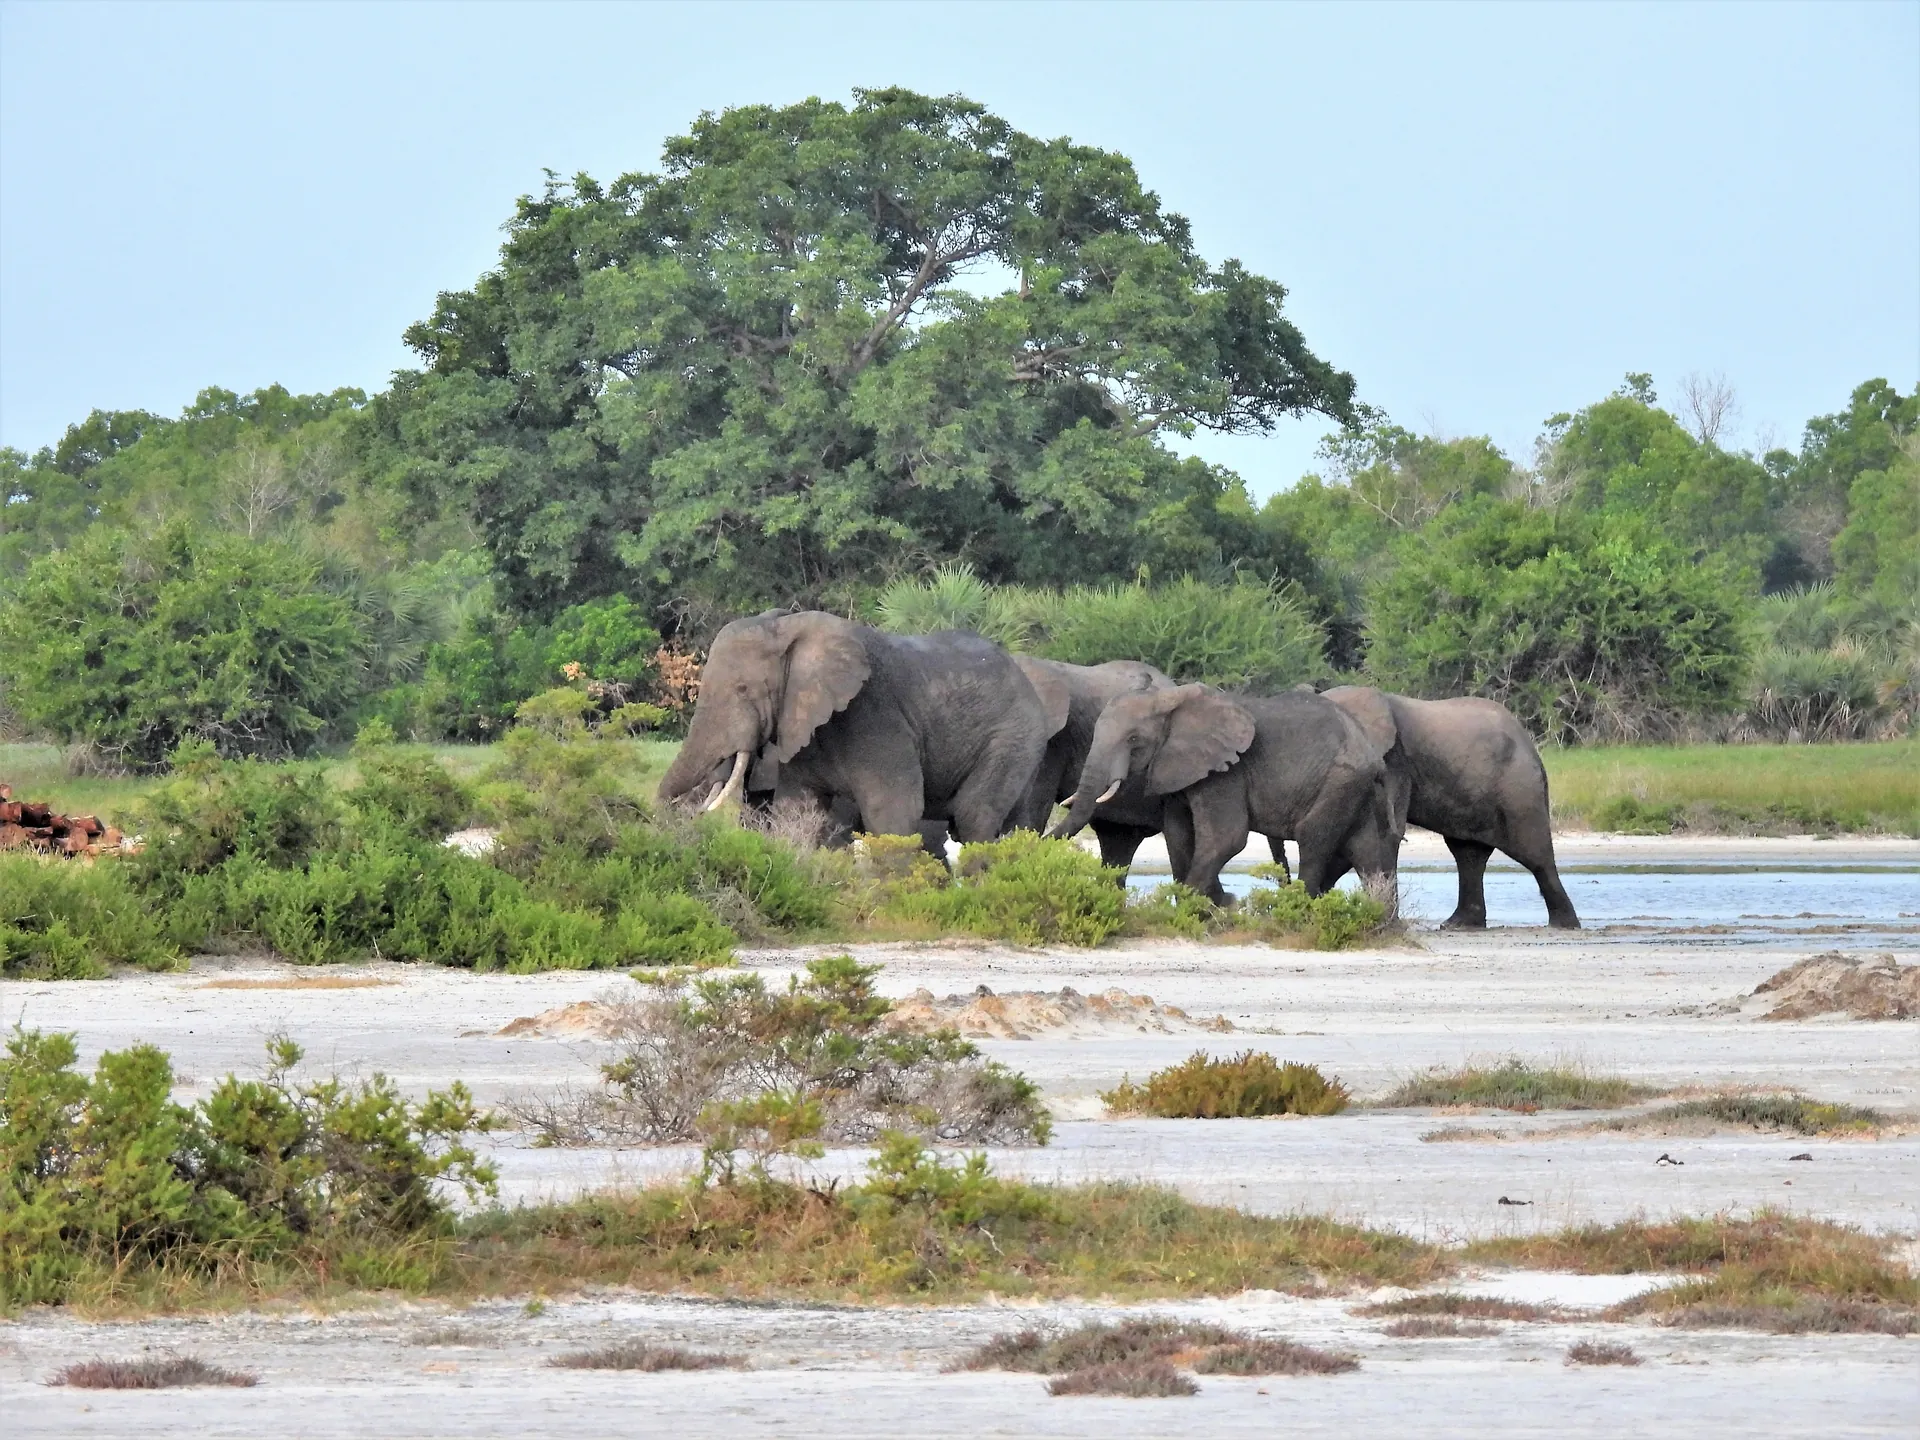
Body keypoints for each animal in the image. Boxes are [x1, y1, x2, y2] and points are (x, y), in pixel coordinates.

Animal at [656, 610, 1052, 844]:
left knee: (973, 816)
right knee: (1015, 823)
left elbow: (893, 808)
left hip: (1012, 737)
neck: (788, 626)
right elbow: (797, 810)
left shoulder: (875, 715)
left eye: (742, 689)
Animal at [1052, 683, 1397, 906]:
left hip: (1340, 779)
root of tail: (1372, 754)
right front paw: (1213, 907)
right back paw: (1378, 920)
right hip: (1354, 787)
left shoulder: (1227, 771)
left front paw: (1202, 909)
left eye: (1133, 739)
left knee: (1313, 838)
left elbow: (1226, 838)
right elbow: (1178, 834)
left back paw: (1297, 911)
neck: (1172, 701)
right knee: (1364, 849)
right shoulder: (1179, 768)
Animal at [1320, 691, 1574, 936]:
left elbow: (1383, 834)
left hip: (1519, 788)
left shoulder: (1393, 762)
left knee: (1534, 855)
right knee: (1468, 855)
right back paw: (1459, 925)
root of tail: (1530, 746)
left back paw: (1563, 925)